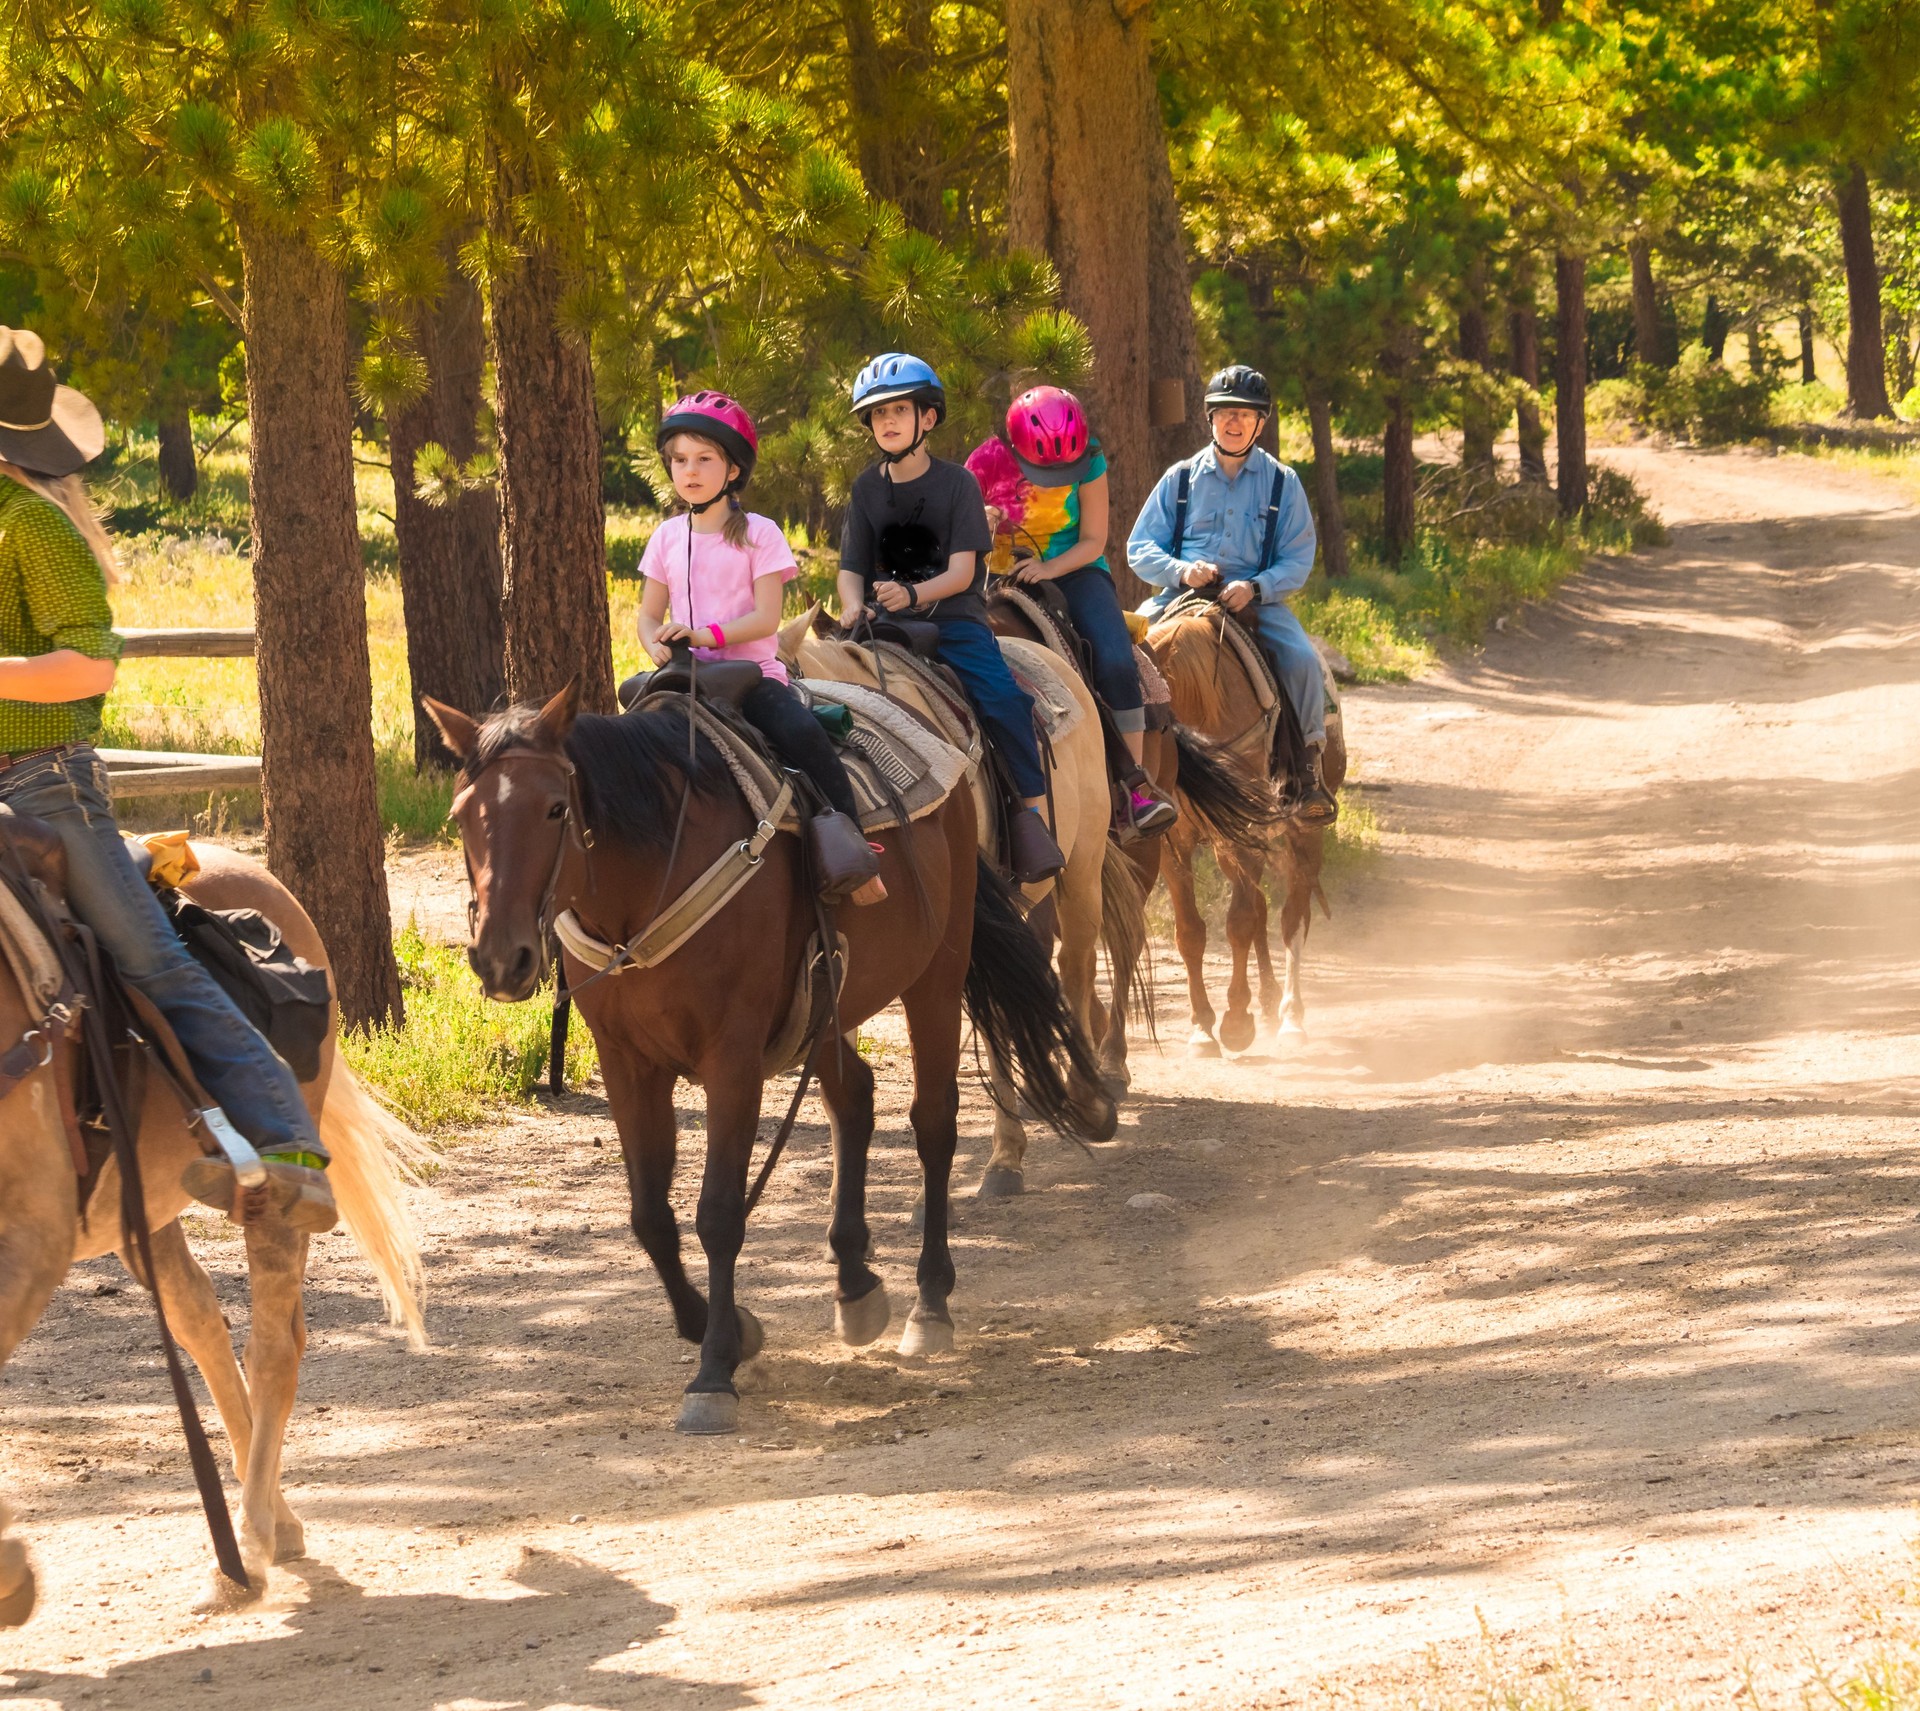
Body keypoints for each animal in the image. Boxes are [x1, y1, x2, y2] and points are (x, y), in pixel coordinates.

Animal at [0, 844, 424, 1636]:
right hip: (145, 1216)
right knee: (201, 1322)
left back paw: (248, 1547)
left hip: (273, 1203)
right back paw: (276, 1526)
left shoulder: (32, 1238)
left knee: (272, 1348)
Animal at [426, 675, 1105, 1436]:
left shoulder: (733, 1057)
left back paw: (930, 1304)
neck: (650, 878)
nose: (501, 958)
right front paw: (724, 1328)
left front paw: (715, 1370)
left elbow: (718, 1212)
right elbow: (650, 1215)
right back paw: (855, 1285)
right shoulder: (627, 1062)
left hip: (937, 971)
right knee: (855, 1098)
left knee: (933, 1123)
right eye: (463, 815)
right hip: (828, 1003)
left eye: (554, 807)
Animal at [1136, 602, 1351, 1060]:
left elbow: (1239, 923)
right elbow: (1190, 933)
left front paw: (1235, 1021)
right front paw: (1202, 1029)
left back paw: (1290, 1017)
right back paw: (1268, 1005)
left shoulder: (1244, 836)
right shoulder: (1175, 845)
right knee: (1264, 910)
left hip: (1304, 835)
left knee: (1291, 918)